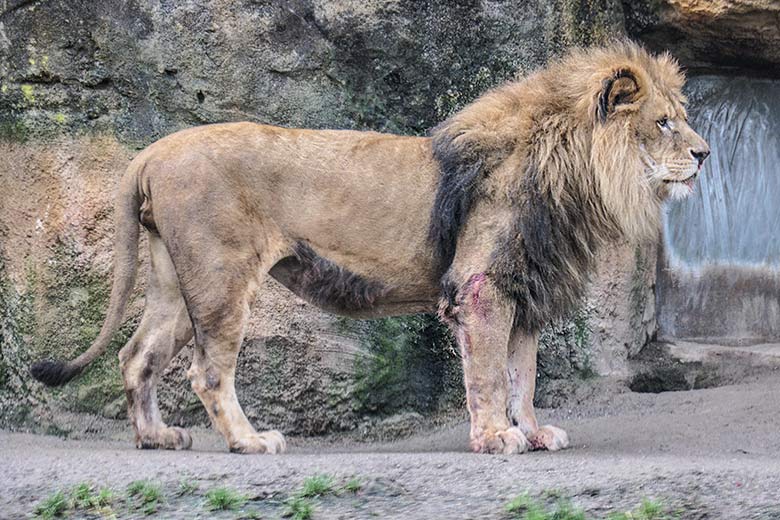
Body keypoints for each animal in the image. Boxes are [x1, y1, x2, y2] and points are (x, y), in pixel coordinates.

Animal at [32, 41, 708, 456]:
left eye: (682, 116)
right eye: (664, 122)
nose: (704, 154)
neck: (572, 173)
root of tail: (152, 151)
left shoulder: (522, 289)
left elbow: (524, 377)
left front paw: (535, 434)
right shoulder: (482, 287)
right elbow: (490, 375)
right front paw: (496, 439)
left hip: (178, 282)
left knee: (137, 357)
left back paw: (157, 438)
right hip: (222, 279)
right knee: (206, 372)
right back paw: (251, 442)